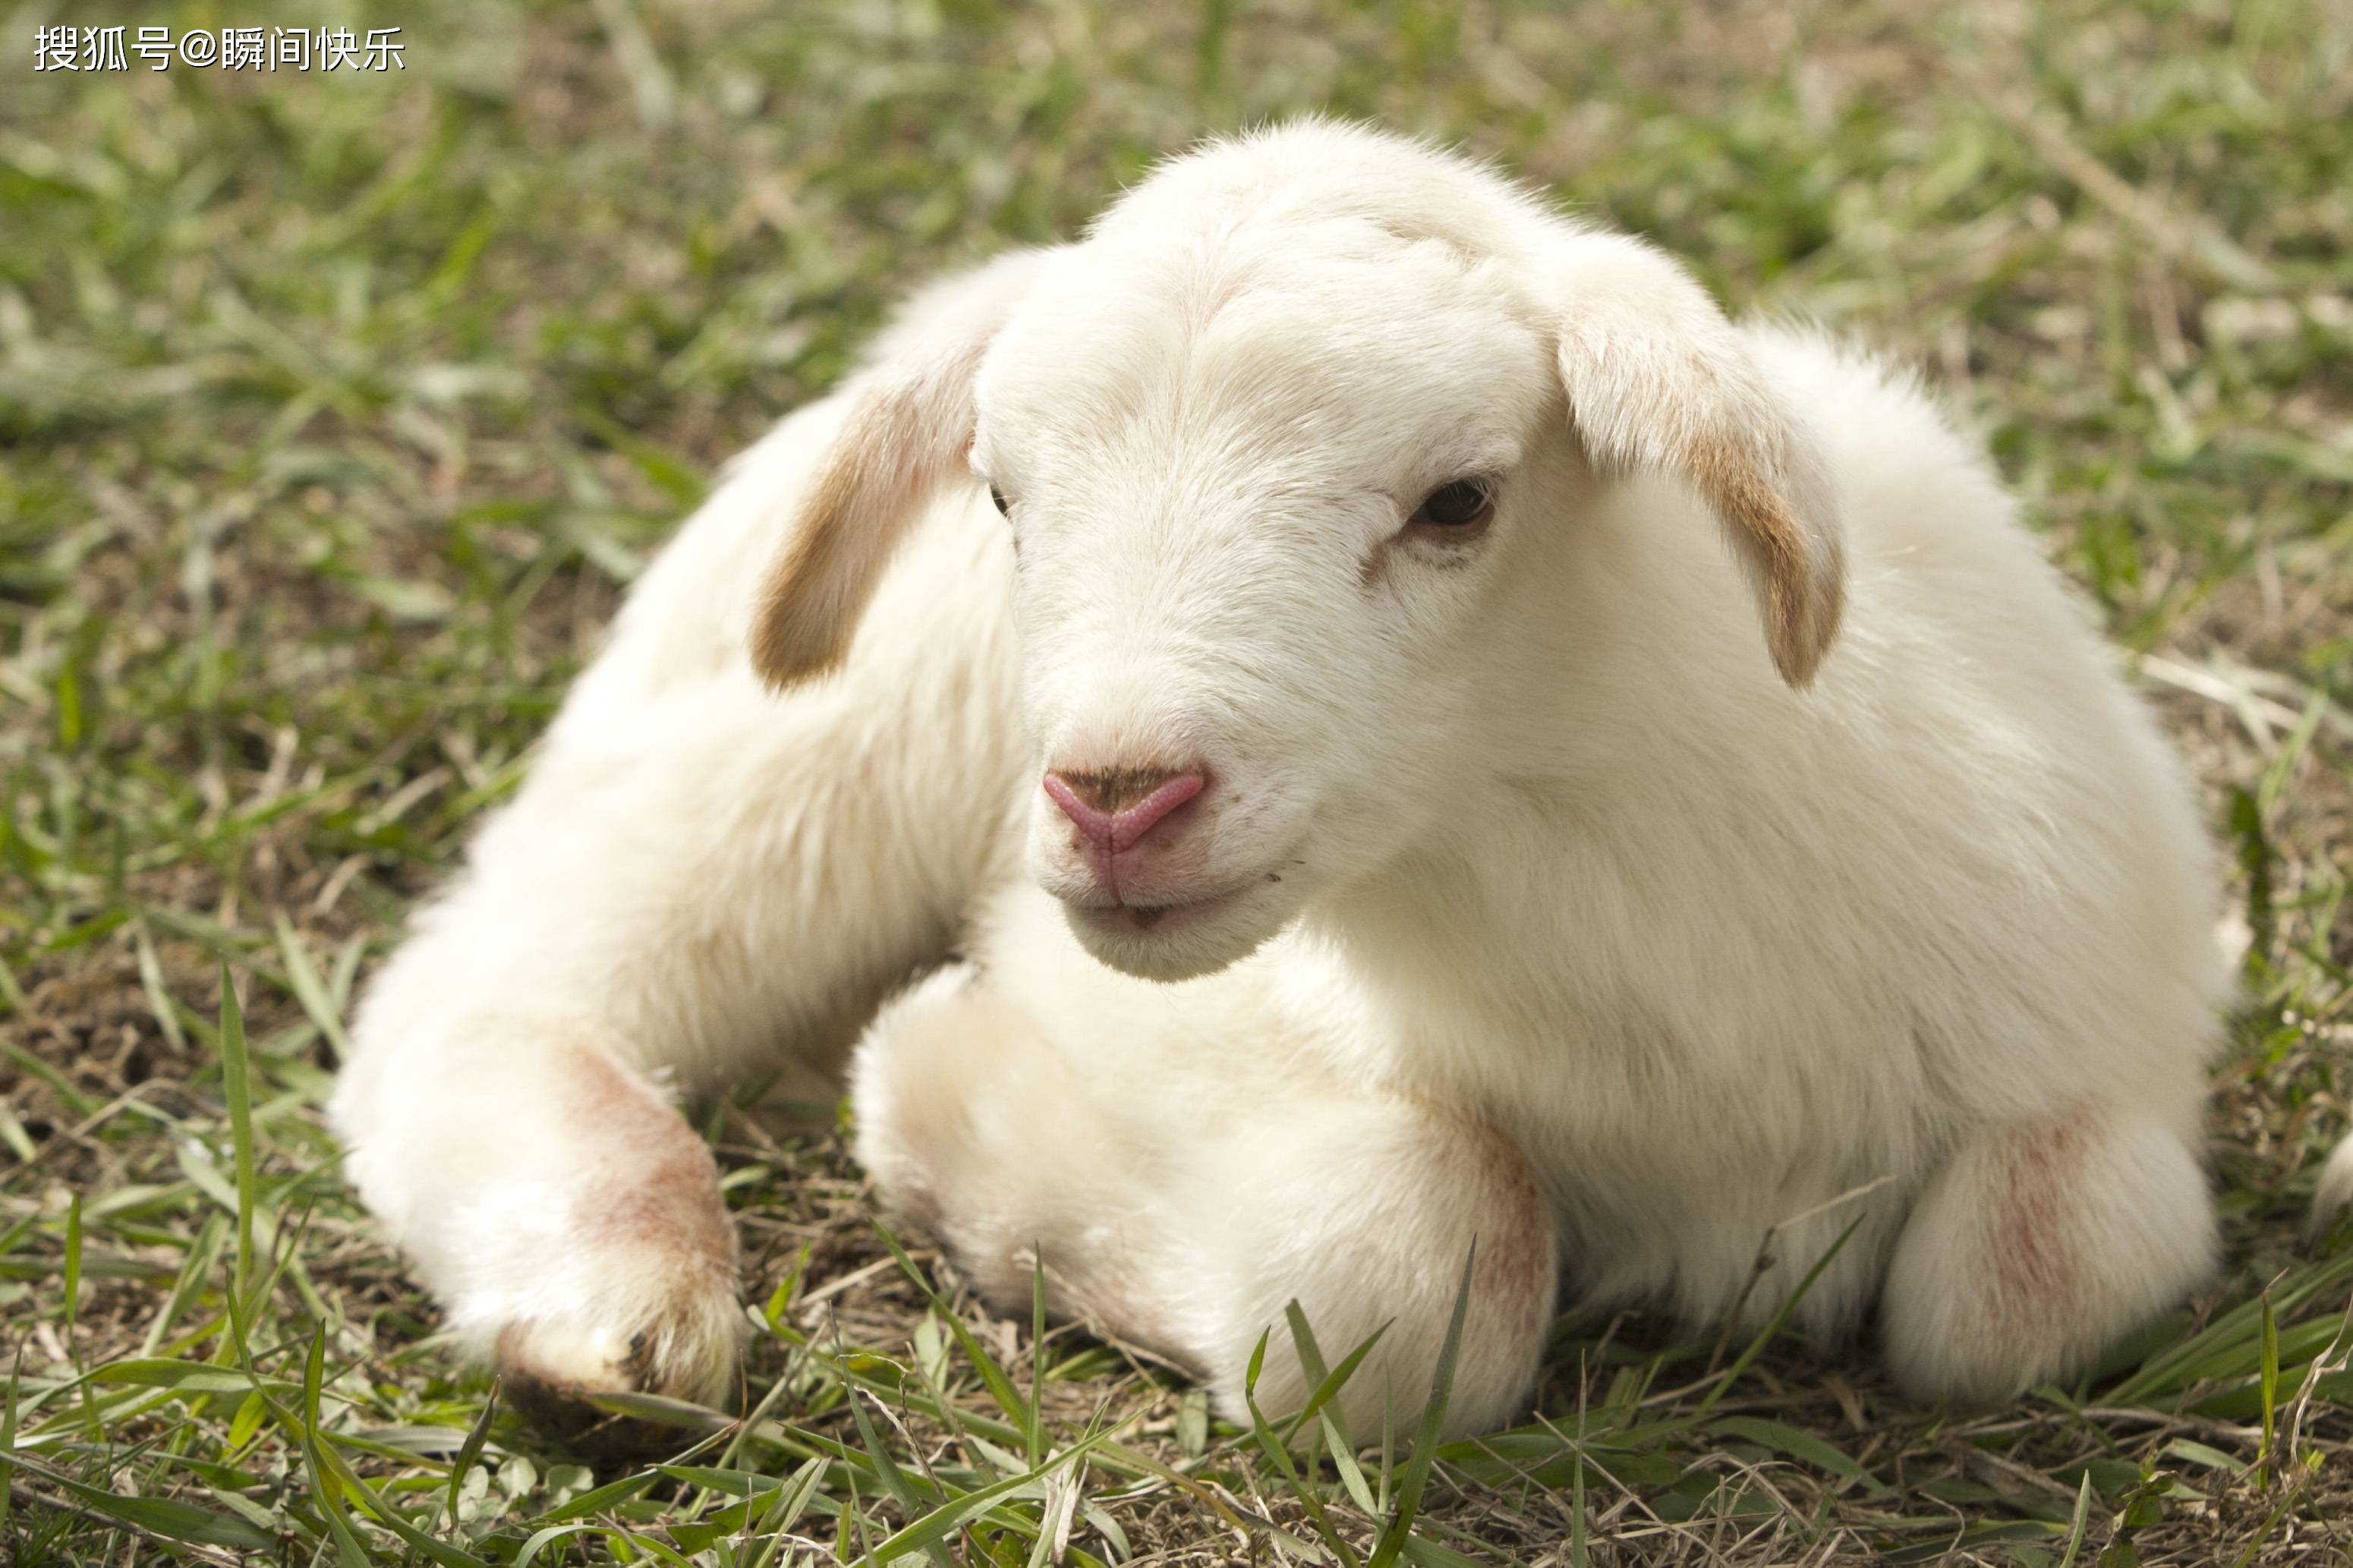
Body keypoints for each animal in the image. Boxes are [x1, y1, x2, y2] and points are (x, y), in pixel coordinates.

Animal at [322, 125, 2268, 1440]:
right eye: (1004, 494)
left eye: (1457, 500)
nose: (1115, 795)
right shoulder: (1147, 1018)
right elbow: (1418, 1258)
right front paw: (944, 1116)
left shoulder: (2096, 1041)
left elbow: (2043, 1259)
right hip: (799, 750)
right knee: (492, 984)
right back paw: (612, 1304)